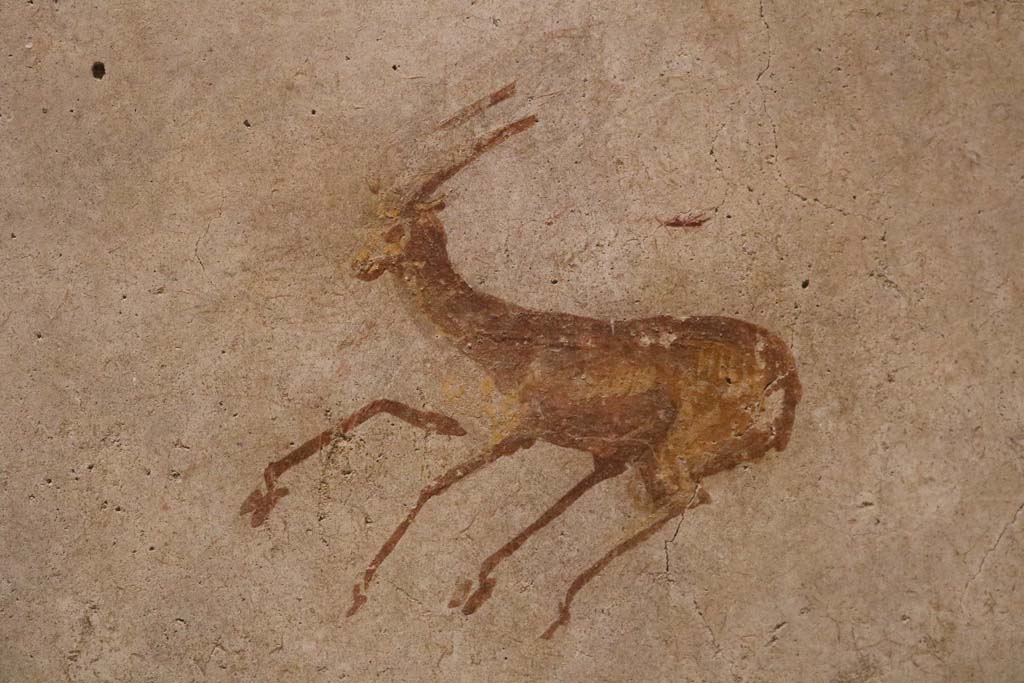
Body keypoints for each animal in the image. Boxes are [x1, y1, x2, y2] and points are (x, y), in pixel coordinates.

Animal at [239, 81, 802, 639]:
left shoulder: (516, 430)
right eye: (379, 221)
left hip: (673, 452)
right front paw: (261, 497)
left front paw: (360, 590)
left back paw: (550, 605)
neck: (499, 339)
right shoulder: (469, 421)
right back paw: (494, 588)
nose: (360, 265)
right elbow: (371, 408)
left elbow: (430, 486)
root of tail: (784, 371)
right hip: (643, 456)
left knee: (686, 498)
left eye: (399, 229)